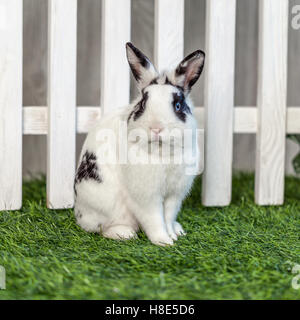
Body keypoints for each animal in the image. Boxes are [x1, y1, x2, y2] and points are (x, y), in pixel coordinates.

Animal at [74, 42, 205, 246]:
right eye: (143, 105)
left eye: (177, 105)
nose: (156, 128)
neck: (161, 154)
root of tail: (78, 213)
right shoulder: (146, 196)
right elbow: (154, 219)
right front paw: (164, 241)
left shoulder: (174, 195)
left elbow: (168, 216)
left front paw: (172, 236)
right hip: (106, 208)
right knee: (102, 228)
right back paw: (125, 234)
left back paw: (178, 229)